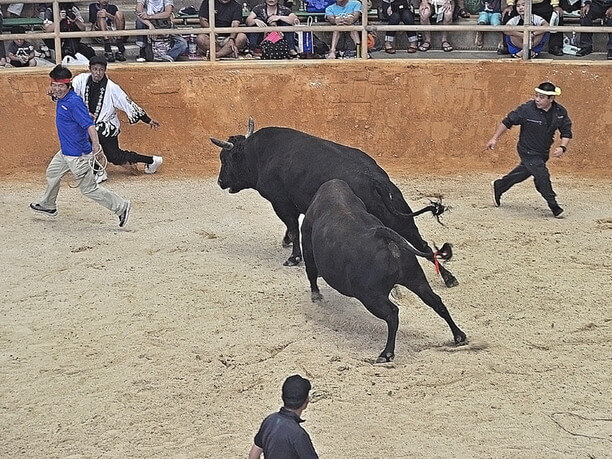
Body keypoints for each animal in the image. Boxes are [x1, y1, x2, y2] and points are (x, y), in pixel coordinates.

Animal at [213, 120, 456, 290]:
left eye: (225, 159)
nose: (220, 181)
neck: (257, 154)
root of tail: (373, 178)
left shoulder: (281, 202)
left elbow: (292, 229)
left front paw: (293, 257)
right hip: (400, 217)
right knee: (423, 245)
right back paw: (449, 278)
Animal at [302, 180, 468, 362]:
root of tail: (386, 238)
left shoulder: (307, 245)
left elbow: (311, 272)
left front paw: (316, 296)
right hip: (416, 280)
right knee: (436, 301)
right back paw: (459, 336)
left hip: (371, 297)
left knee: (392, 313)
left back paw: (386, 353)